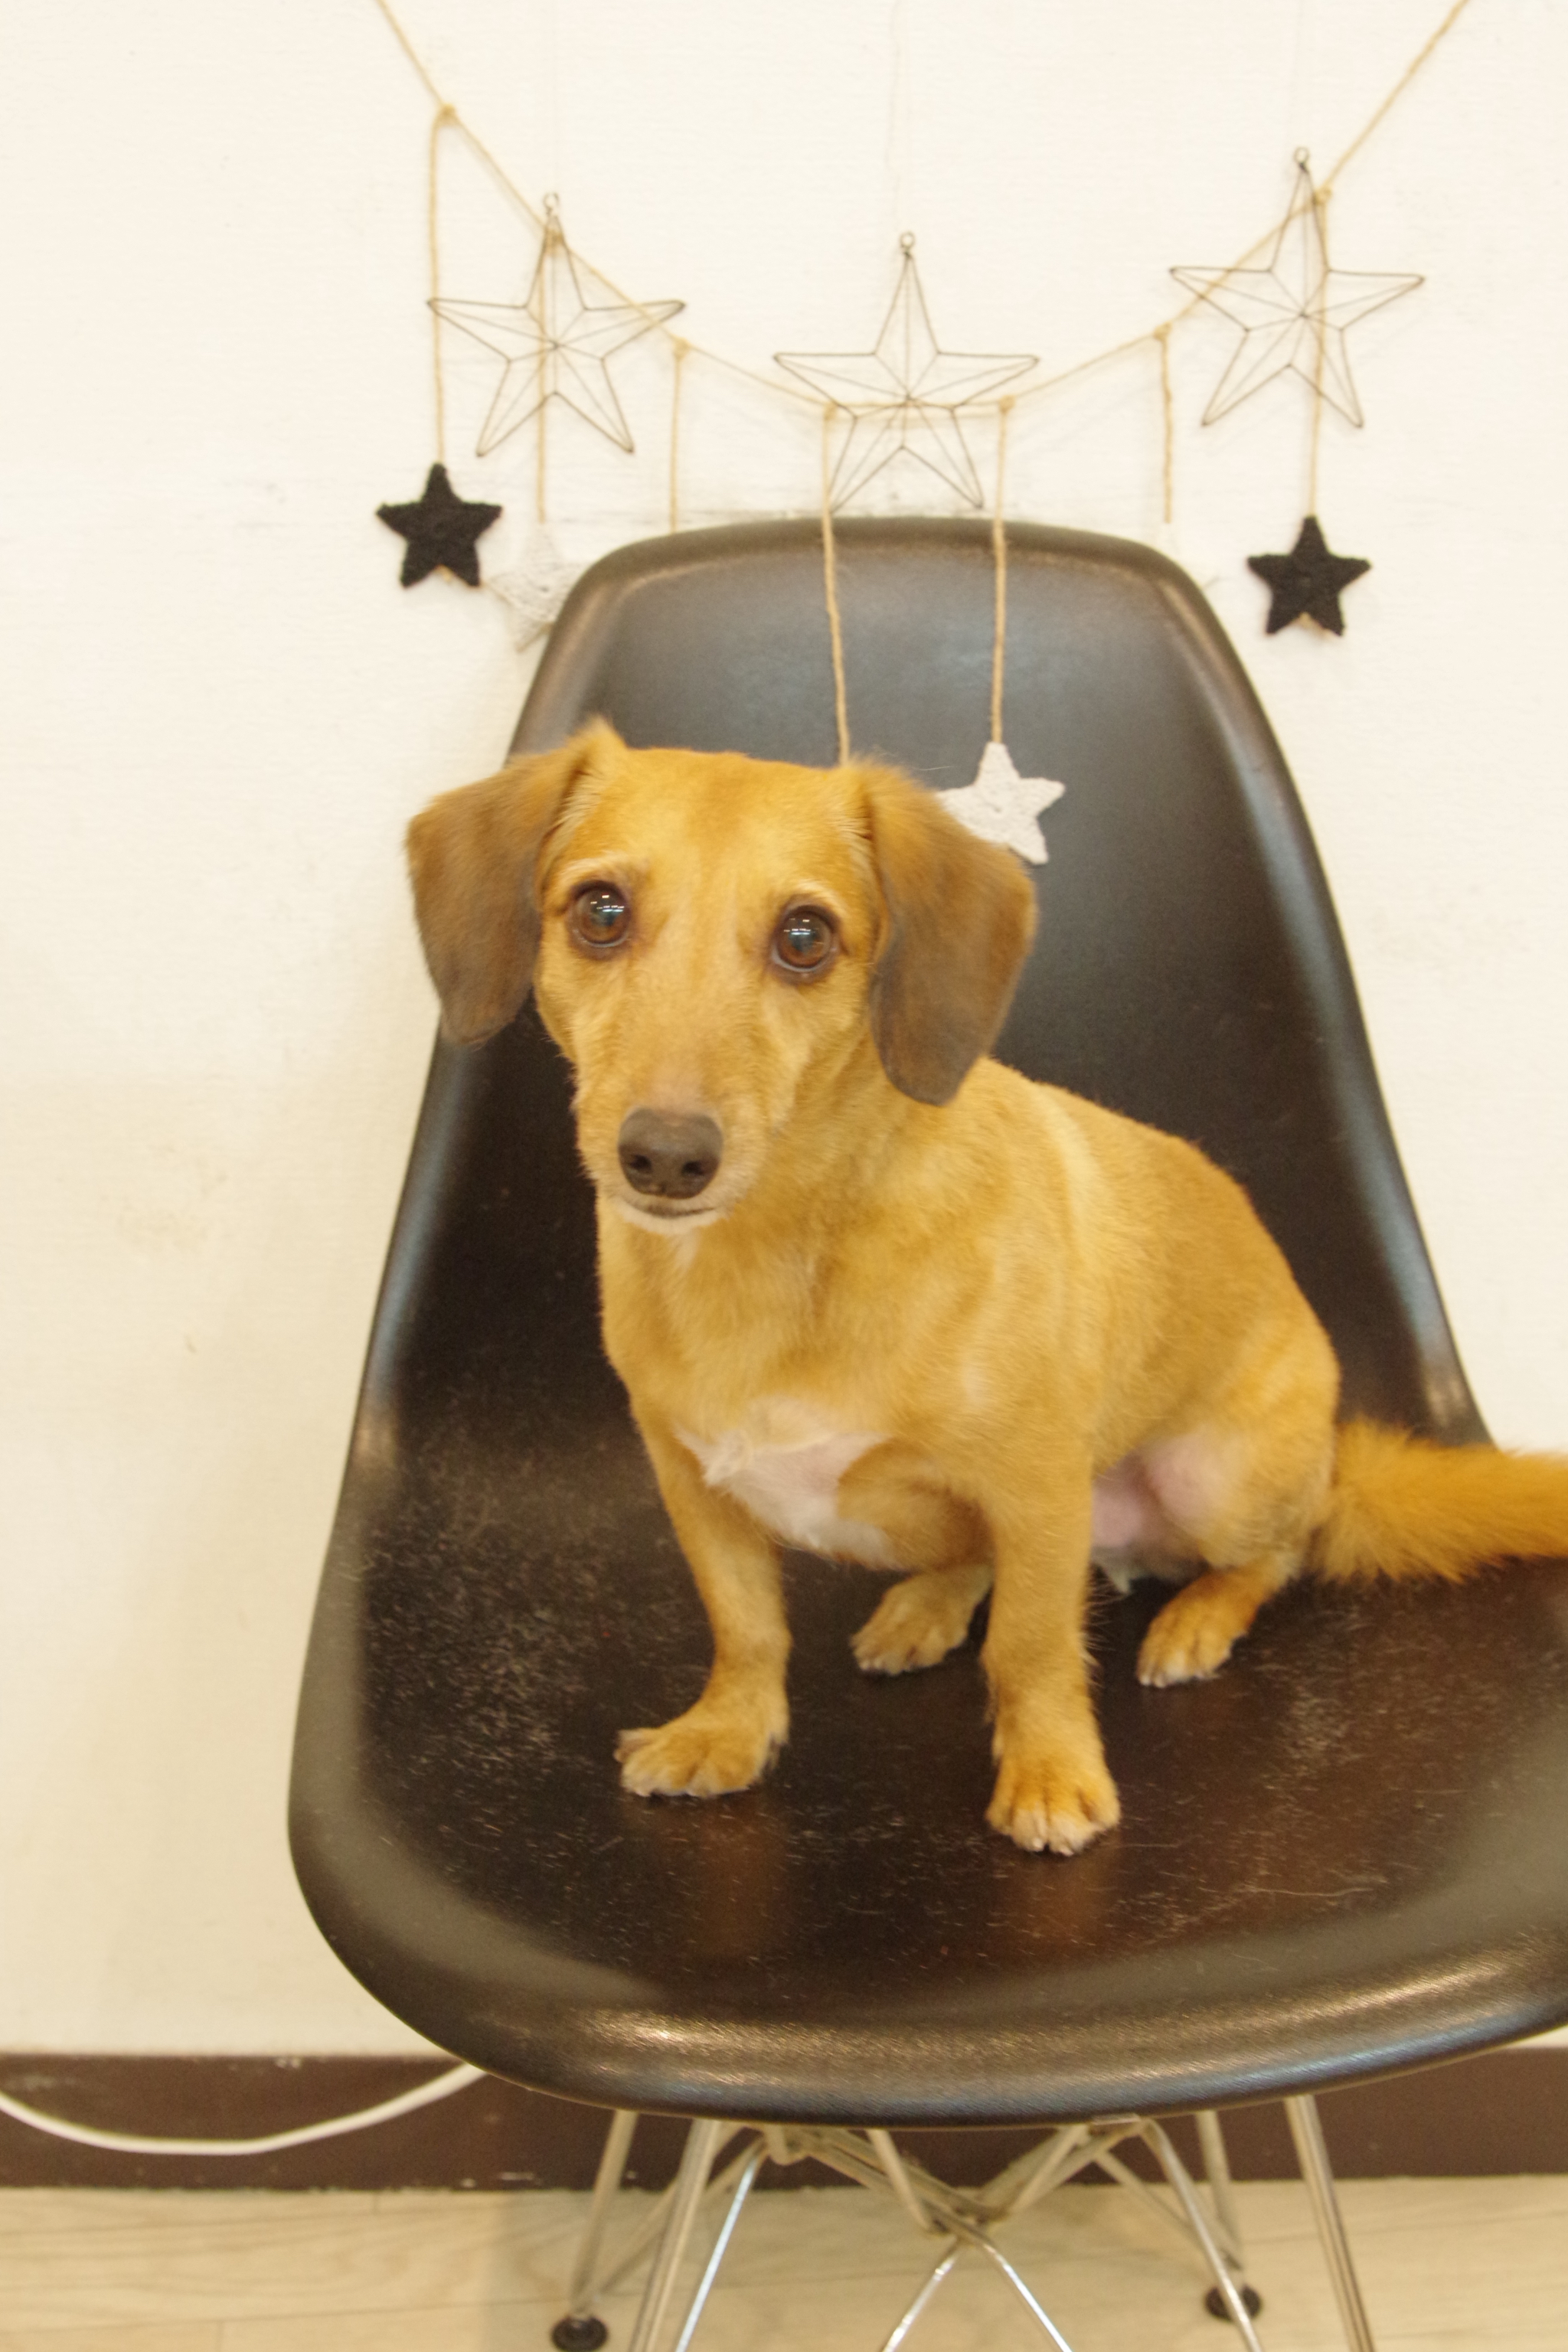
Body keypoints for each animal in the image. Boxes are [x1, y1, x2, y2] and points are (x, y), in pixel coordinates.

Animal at [407, 723, 1568, 1854]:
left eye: (804, 937)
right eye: (599, 912)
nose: (664, 1157)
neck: (781, 1250)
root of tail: (1332, 1460)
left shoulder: (1037, 1489)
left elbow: (1032, 1648)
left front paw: (1050, 1775)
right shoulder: (693, 1486)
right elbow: (747, 1629)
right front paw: (726, 1735)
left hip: (1217, 1481)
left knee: (1276, 1556)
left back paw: (1194, 1619)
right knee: (974, 1564)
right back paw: (923, 1608)